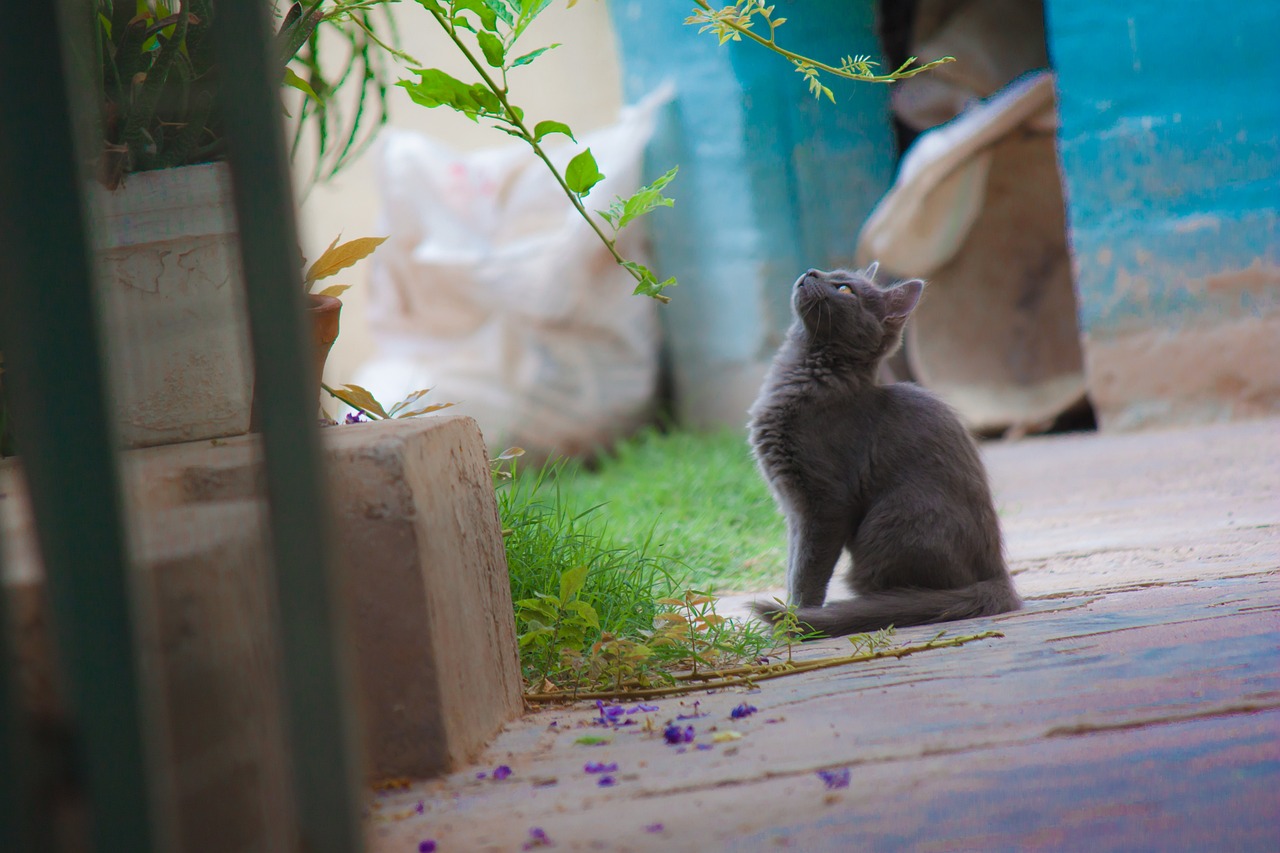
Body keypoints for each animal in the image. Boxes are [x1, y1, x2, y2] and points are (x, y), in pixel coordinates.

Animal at [747, 262, 1018, 635]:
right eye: (830, 273)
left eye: (845, 289)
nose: (811, 271)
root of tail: (998, 574)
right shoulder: (794, 510)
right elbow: (792, 563)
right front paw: (793, 611)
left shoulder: (825, 504)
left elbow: (807, 570)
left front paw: (798, 618)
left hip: (893, 521)